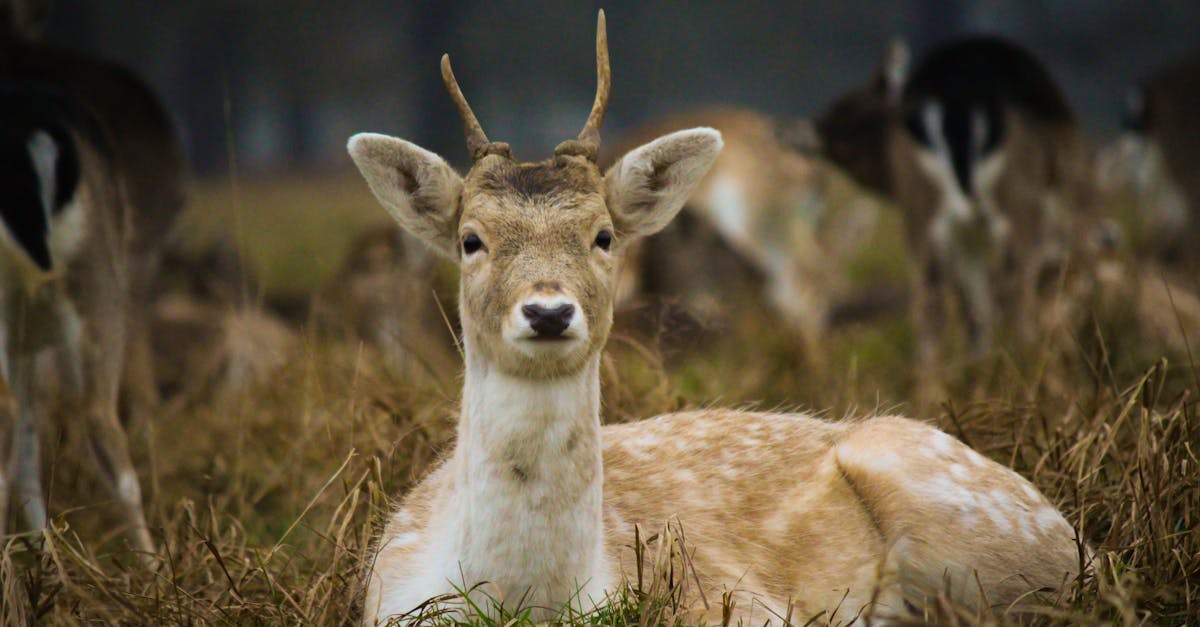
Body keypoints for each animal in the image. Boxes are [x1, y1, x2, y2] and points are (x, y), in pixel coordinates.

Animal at [792, 37, 1099, 401]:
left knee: (934, 301)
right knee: (1013, 292)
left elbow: (974, 309)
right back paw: (1032, 381)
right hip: (1018, 203)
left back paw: (937, 394)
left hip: (924, 212)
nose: (798, 134)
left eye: (852, 109)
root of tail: (958, 105)